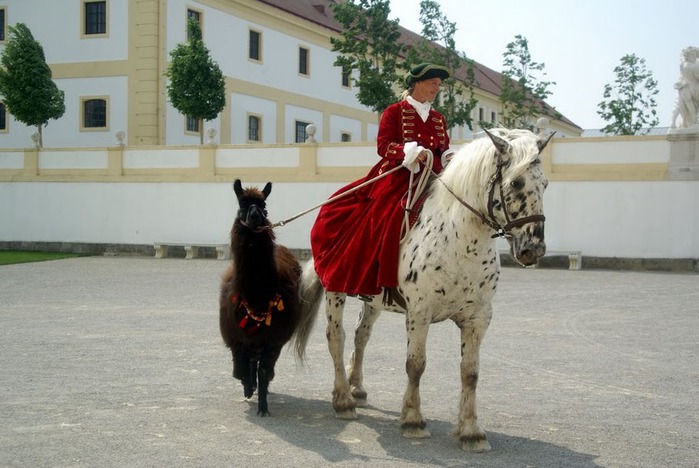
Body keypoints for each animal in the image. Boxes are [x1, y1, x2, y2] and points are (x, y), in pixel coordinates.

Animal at [219, 179, 320, 416]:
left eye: (263, 204)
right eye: (242, 203)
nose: (256, 216)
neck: (257, 297)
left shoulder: (273, 337)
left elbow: (264, 370)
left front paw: (263, 407)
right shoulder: (235, 335)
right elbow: (239, 368)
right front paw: (248, 387)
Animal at [298, 129, 556, 454]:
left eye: (545, 185)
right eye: (516, 183)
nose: (533, 249)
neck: (461, 241)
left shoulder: (479, 319)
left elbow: (470, 372)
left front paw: (471, 431)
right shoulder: (419, 314)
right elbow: (416, 365)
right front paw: (413, 420)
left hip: (372, 300)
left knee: (361, 336)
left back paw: (357, 388)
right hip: (336, 290)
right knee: (337, 338)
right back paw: (343, 399)